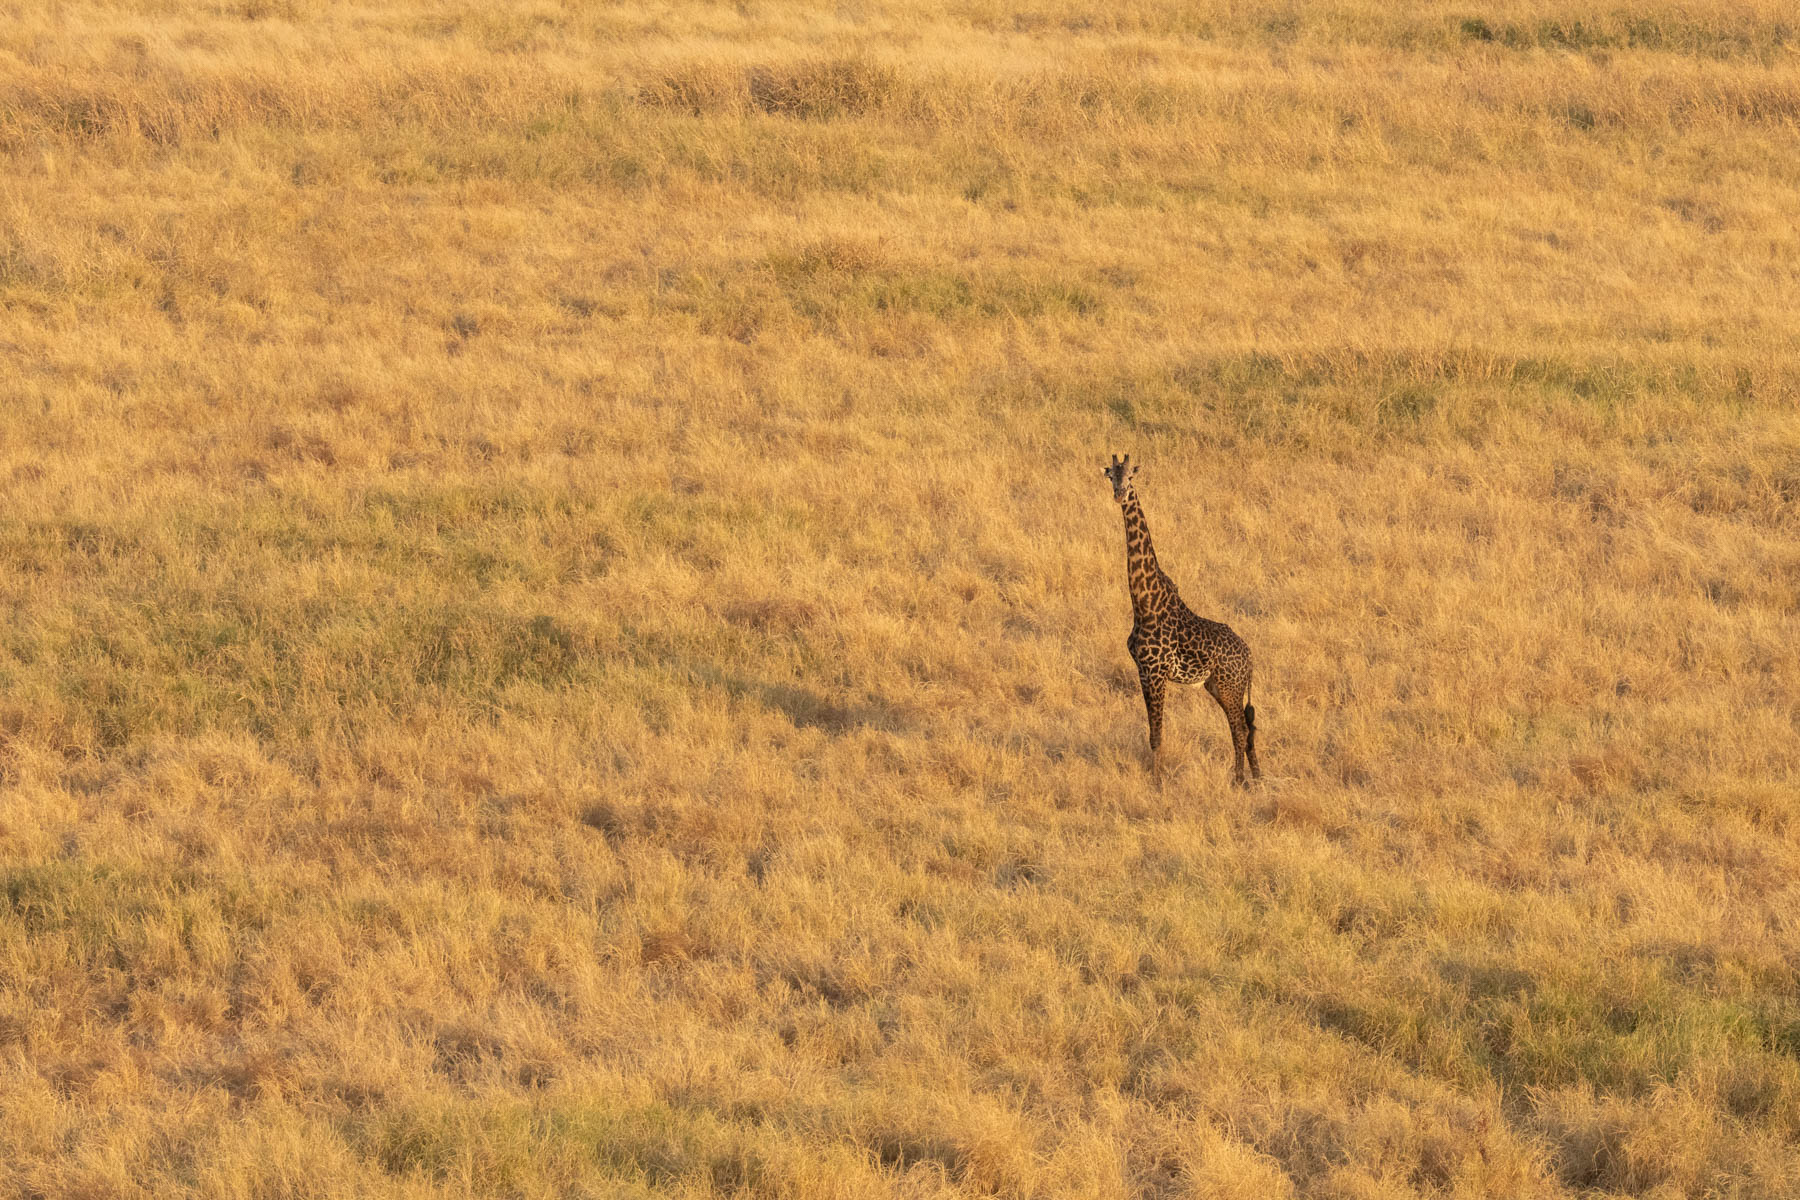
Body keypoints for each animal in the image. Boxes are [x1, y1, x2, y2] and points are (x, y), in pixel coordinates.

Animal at [1103, 454, 1260, 788]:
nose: (1119, 495)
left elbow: (1157, 735)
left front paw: (1158, 781)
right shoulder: (1143, 672)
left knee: (1240, 728)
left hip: (1229, 685)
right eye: (1111, 475)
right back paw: (1257, 777)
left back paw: (1239, 780)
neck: (1144, 602)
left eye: (1130, 478)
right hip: (1218, 686)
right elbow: (1153, 733)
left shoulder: (1156, 673)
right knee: (1247, 727)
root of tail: (1251, 658)